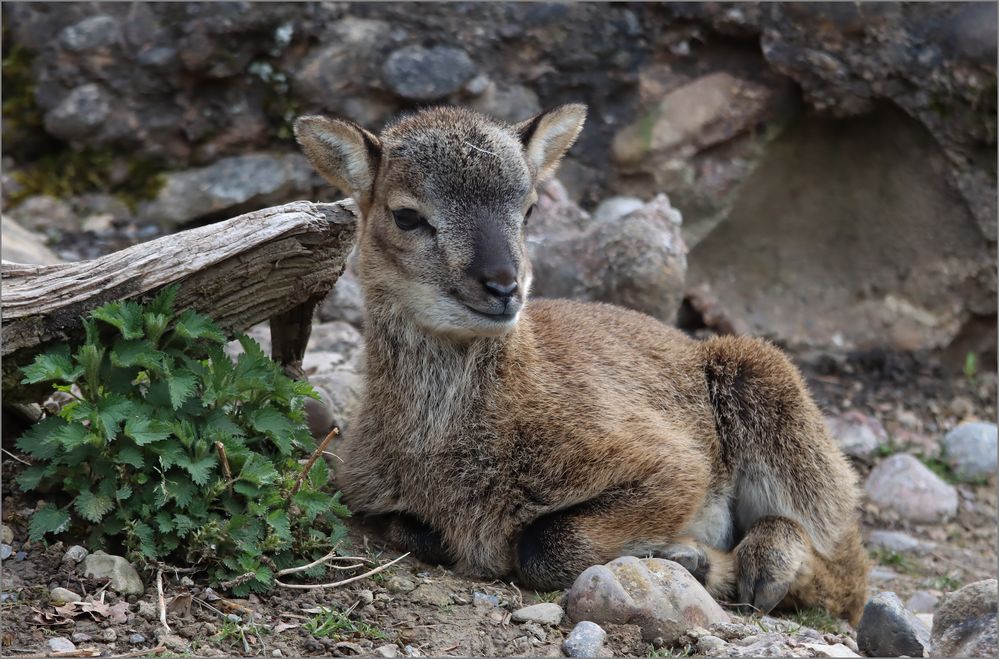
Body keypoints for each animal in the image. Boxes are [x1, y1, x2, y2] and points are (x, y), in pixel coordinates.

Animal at [292, 104, 868, 624]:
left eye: (528, 209)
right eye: (407, 215)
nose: (503, 286)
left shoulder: (673, 465)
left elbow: (548, 544)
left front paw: (693, 559)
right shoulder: (374, 496)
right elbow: (420, 532)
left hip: (776, 408)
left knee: (848, 574)